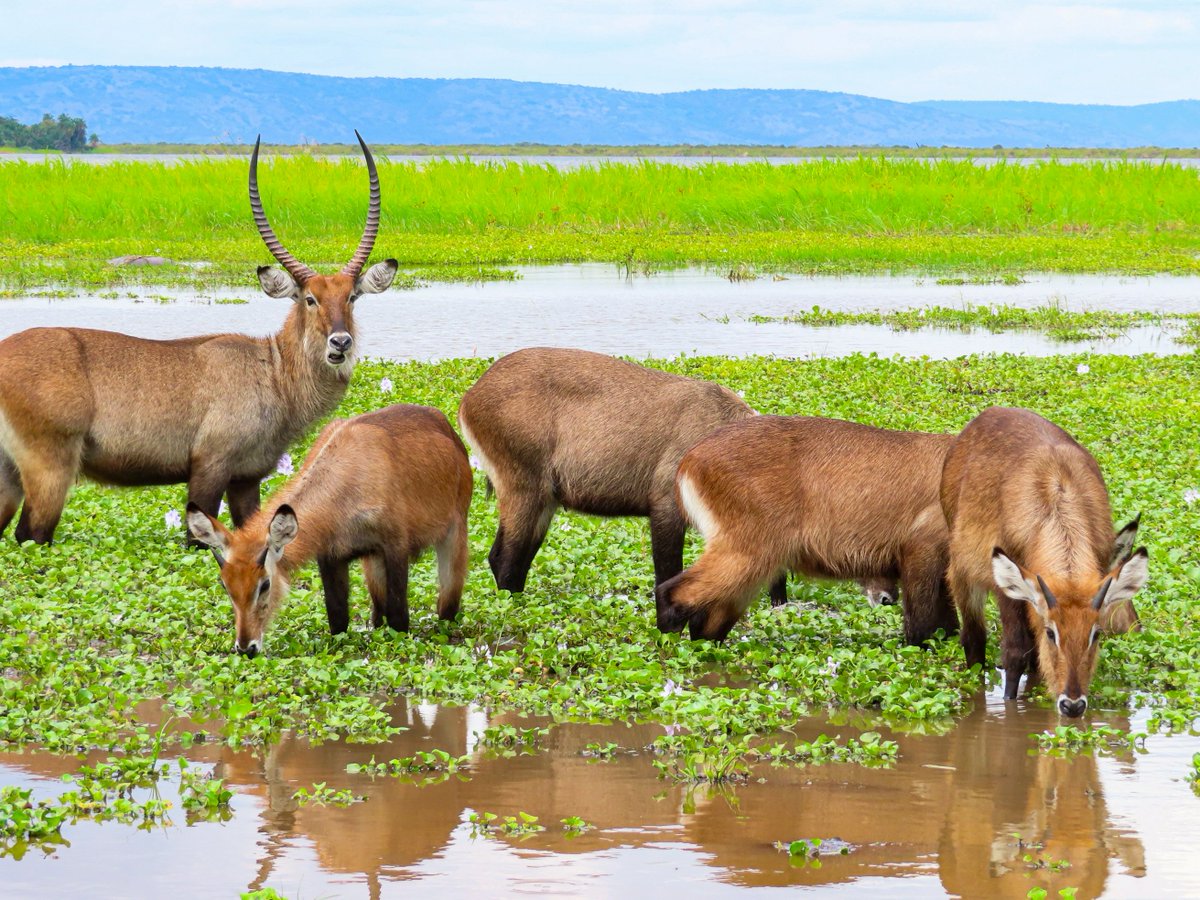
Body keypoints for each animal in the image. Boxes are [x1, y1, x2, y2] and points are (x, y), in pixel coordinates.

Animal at [0, 132, 398, 542]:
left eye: (351, 297)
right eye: (310, 298)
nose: (340, 343)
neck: (273, 371)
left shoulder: (246, 478)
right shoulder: (210, 466)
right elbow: (199, 539)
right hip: (50, 469)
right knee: (30, 534)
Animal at [184, 405, 470, 657]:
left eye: (264, 584)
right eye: (224, 584)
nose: (246, 648)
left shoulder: (395, 547)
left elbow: (400, 619)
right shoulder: (331, 557)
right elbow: (338, 619)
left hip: (454, 535)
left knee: (447, 604)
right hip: (372, 562)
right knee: (378, 614)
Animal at [453, 345, 792, 619]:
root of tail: (469, 396)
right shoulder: (666, 503)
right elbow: (668, 572)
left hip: (545, 497)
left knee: (512, 558)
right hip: (523, 485)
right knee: (505, 559)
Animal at [657, 420, 955, 643]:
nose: (887, 599)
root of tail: (690, 457)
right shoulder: (922, 550)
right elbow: (921, 624)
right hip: (750, 553)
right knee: (669, 592)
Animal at [940, 408, 1147, 720]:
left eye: (1095, 633)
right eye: (1053, 633)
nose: (1072, 705)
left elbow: (1036, 658)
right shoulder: (1009, 590)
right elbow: (1015, 653)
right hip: (964, 575)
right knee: (974, 638)